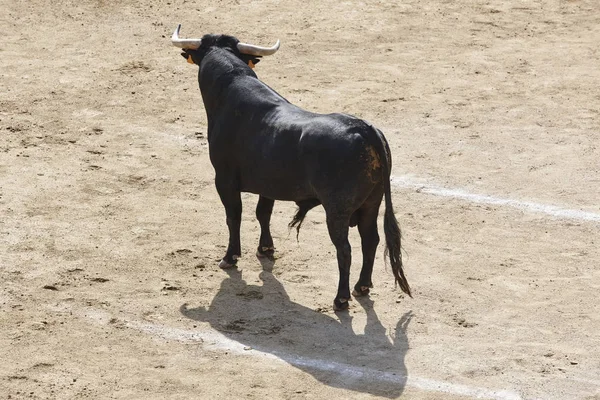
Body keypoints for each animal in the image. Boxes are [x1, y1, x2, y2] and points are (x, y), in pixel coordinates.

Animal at [180, 34, 410, 310]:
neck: (229, 86)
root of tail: (364, 129)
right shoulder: (267, 184)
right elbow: (262, 213)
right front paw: (265, 249)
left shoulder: (224, 180)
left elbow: (233, 216)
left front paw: (230, 257)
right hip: (371, 204)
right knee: (370, 240)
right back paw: (361, 286)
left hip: (337, 211)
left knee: (345, 249)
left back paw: (341, 298)